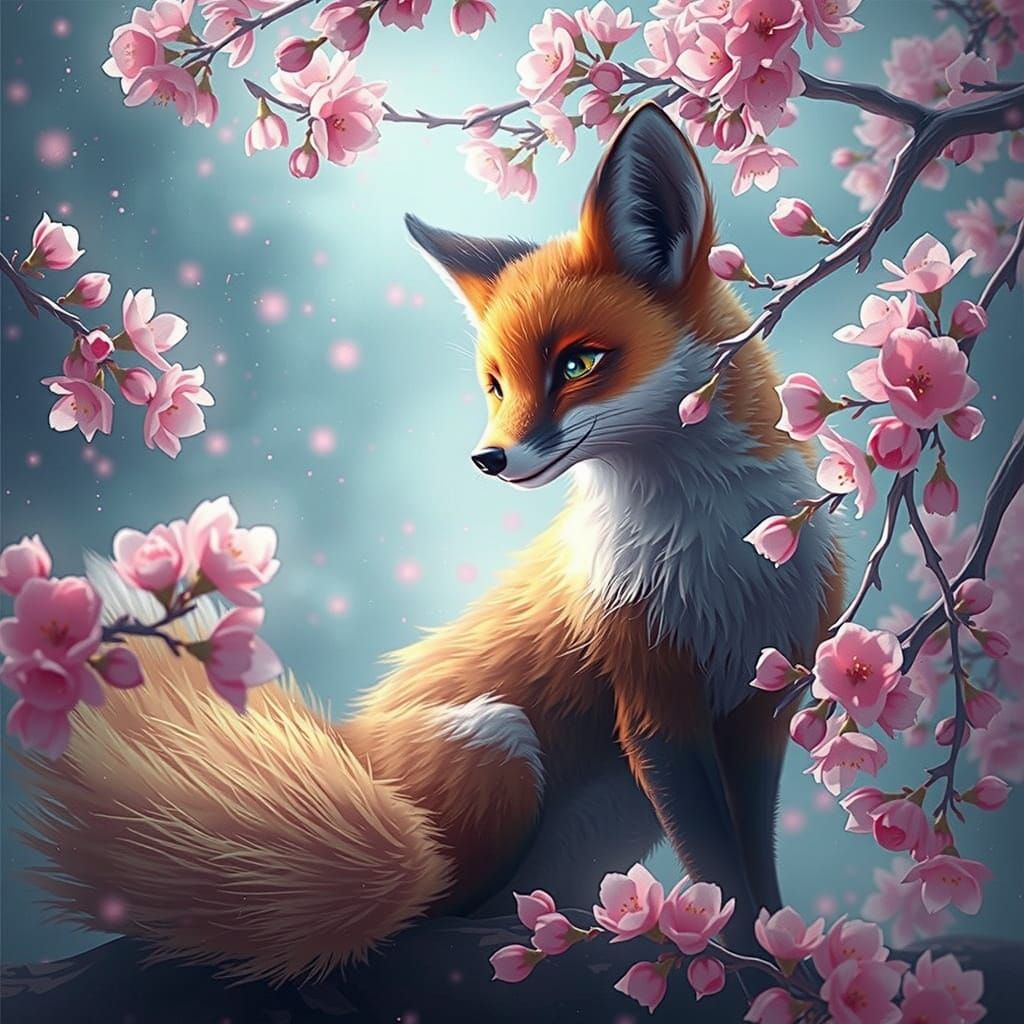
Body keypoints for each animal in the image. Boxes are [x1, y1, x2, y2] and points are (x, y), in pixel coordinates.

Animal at [21, 104, 844, 986]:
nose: (488, 459)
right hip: (500, 744)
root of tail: (342, 751)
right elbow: (717, 866)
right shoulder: (653, 698)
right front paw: (756, 962)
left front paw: (784, 948)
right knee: (414, 916)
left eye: (578, 363)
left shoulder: (762, 702)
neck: (716, 555)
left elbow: (751, 861)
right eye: (495, 384)